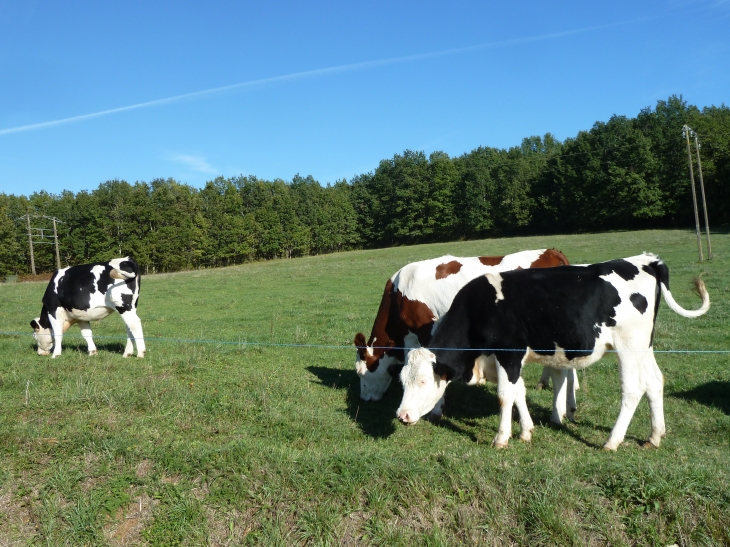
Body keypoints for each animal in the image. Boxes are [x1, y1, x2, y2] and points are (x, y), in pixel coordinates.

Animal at [352, 248, 576, 424]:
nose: (364, 398)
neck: (400, 294)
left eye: (360, 373)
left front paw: (436, 409)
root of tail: (550, 251)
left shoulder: (427, 331)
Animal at [396, 255, 708, 452]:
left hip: (628, 346)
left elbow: (505, 396)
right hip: (645, 346)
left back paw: (612, 441)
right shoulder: (506, 360)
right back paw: (654, 437)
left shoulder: (509, 354)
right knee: (655, 382)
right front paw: (526, 431)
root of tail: (645, 261)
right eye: (403, 381)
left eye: (423, 381)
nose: (402, 415)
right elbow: (519, 392)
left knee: (633, 390)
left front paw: (502, 438)